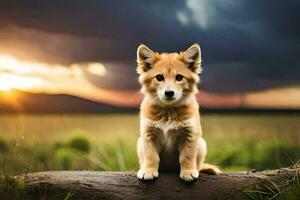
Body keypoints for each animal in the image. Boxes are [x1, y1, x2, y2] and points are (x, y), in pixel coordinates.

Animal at [137, 43, 220, 181]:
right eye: (159, 77)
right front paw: (148, 170)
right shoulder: (148, 134)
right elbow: (151, 156)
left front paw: (188, 172)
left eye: (179, 77)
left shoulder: (190, 134)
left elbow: (187, 156)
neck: (168, 111)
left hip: (202, 144)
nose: (169, 93)